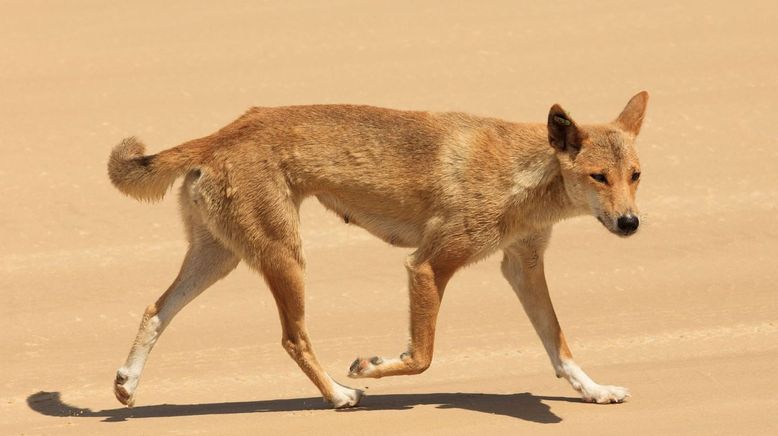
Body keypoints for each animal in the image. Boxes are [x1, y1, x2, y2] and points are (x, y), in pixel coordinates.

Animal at [106, 90, 644, 408]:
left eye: (636, 175)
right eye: (599, 176)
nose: (630, 222)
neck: (524, 174)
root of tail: (221, 133)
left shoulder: (523, 267)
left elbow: (559, 345)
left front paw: (594, 390)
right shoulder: (428, 265)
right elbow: (423, 356)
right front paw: (373, 366)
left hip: (220, 256)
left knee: (156, 309)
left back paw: (127, 382)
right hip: (285, 257)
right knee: (293, 338)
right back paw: (338, 394)